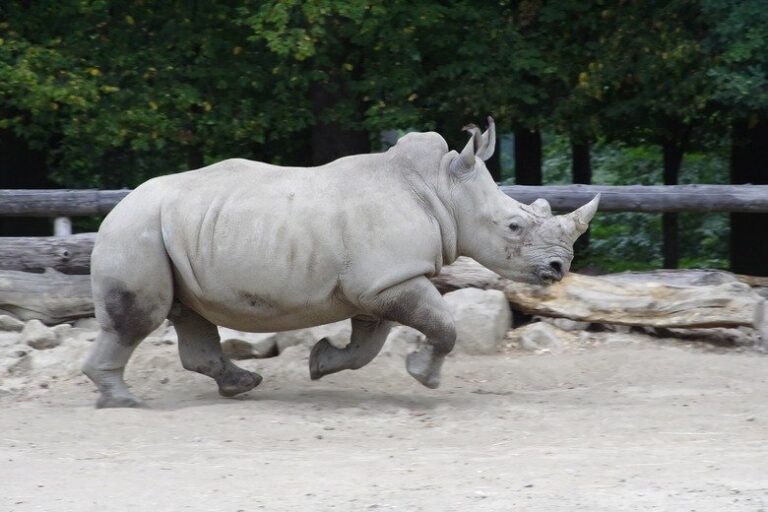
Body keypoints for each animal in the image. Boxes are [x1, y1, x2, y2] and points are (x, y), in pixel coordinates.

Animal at [83, 117, 599, 408]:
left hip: (167, 231)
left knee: (188, 312)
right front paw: (425, 377)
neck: (441, 189)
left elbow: (368, 345)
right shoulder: (388, 279)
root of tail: (114, 208)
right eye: (514, 227)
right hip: (135, 231)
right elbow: (444, 325)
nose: (559, 268)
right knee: (141, 316)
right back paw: (122, 401)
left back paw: (242, 384)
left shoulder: (379, 283)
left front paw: (319, 362)